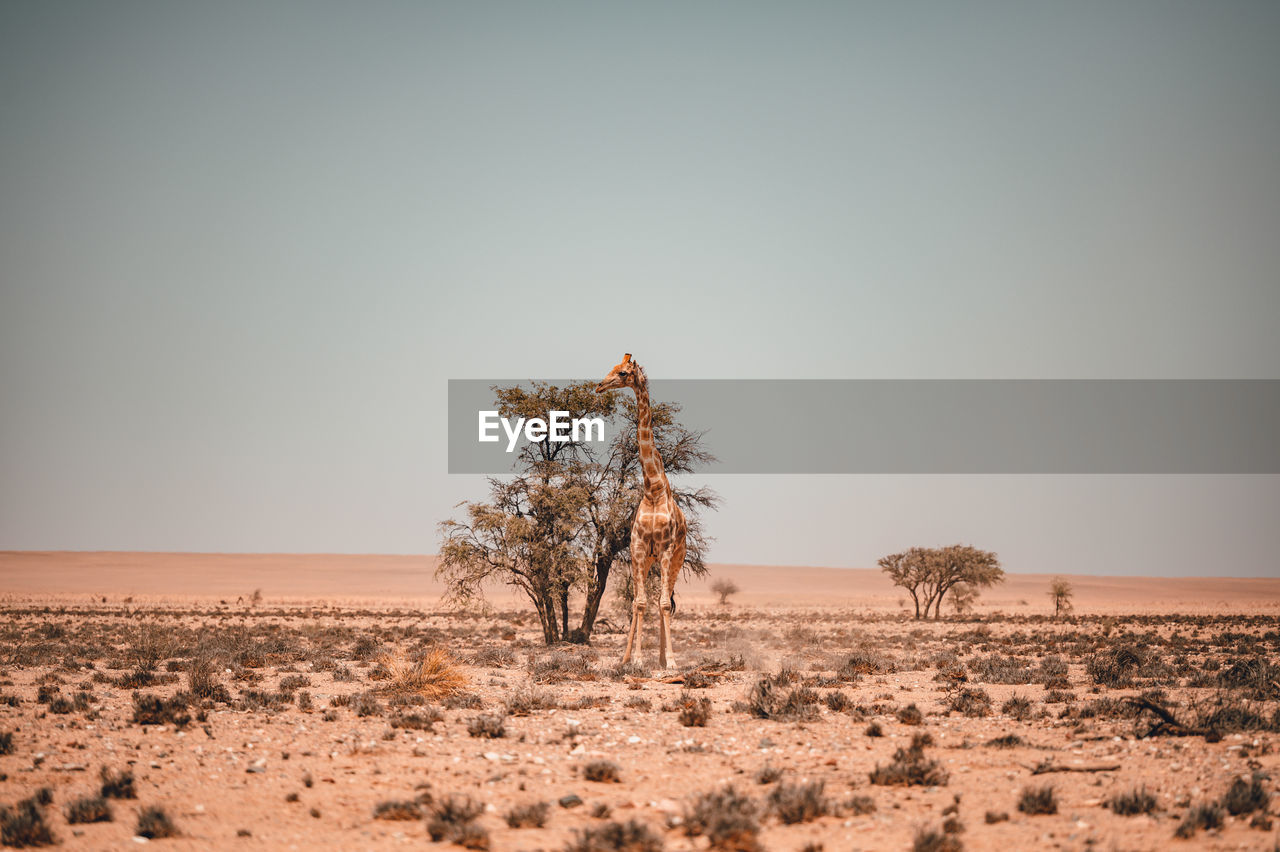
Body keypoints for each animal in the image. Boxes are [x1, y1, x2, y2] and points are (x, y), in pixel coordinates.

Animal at [593, 355, 686, 665]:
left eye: (622, 373)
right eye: (611, 369)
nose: (599, 386)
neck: (653, 489)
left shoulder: (666, 548)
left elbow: (663, 604)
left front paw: (670, 661)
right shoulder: (637, 547)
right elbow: (640, 603)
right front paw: (634, 659)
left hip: (676, 558)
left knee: (664, 600)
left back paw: (663, 659)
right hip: (646, 560)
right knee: (641, 601)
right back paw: (630, 658)